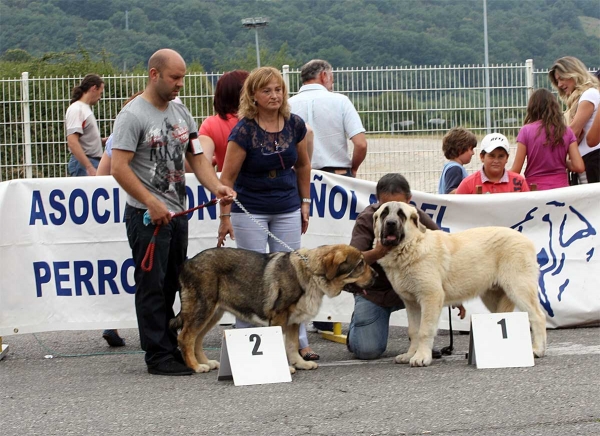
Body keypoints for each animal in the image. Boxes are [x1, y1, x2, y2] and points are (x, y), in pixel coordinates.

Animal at [376, 203, 548, 366]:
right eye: (384, 213)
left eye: (401, 214)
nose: (390, 223)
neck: (411, 246)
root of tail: (526, 239)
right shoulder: (411, 303)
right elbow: (413, 331)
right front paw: (410, 355)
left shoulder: (430, 297)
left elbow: (424, 330)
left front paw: (422, 357)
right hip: (494, 296)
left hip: (518, 288)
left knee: (538, 316)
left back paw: (537, 349)